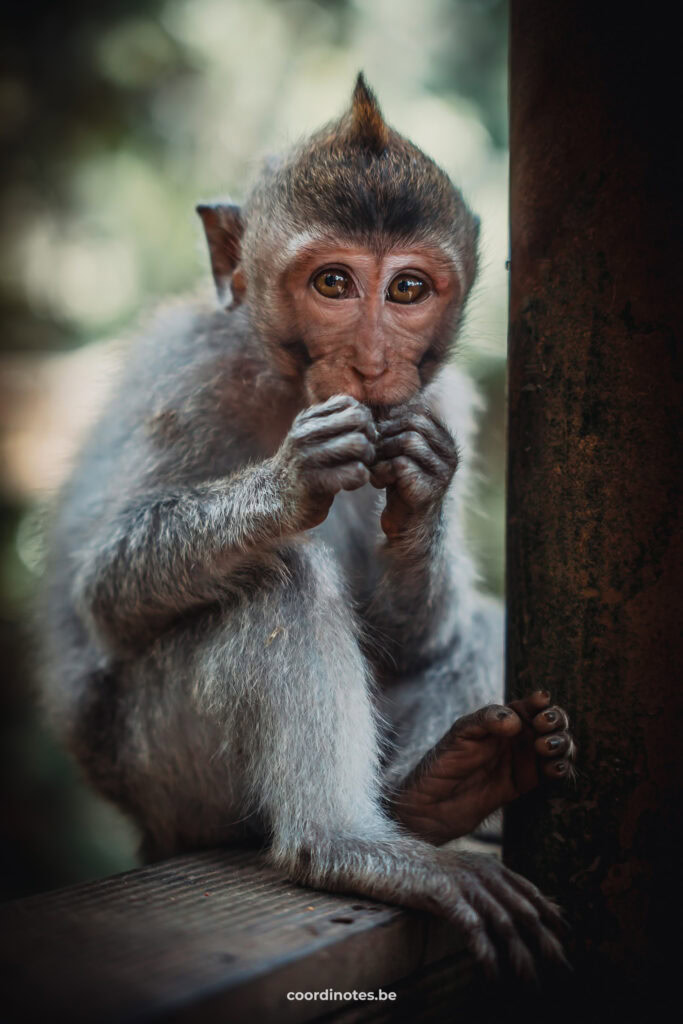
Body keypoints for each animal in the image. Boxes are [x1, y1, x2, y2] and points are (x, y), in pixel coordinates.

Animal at [41, 75, 577, 978]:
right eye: (332, 283)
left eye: (406, 290)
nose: (370, 362)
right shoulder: (191, 379)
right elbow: (105, 591)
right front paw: (292, 480)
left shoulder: (439, 400)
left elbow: (414, 634)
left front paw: (423, 488)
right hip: (167, 769)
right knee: (277, 584)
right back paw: (344, 845)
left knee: (467, 622)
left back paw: (441, 788)